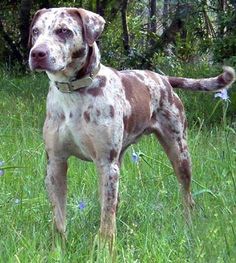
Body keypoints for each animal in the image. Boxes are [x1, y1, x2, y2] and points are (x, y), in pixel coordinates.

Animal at [28, 6, 234, 241]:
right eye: (35, 31)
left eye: (64, 31)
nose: (37, 53)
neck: (73, 94)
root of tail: (163, 79)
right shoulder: (56, 163)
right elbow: (60, 219)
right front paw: (59, 246)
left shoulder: (106, 164)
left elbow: (106, 222)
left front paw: (105, 247)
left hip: (179, 152)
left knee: (187, 196)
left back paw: (189, 228)